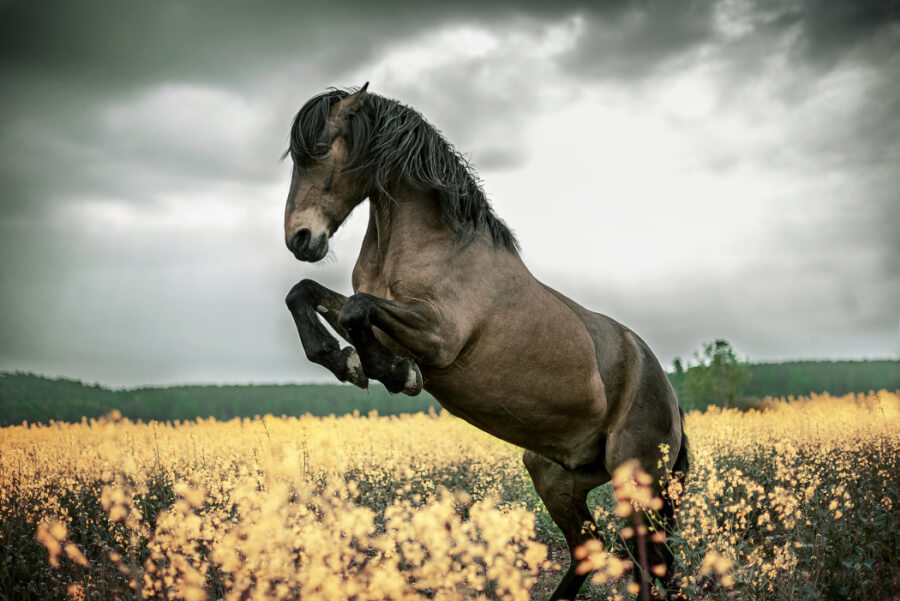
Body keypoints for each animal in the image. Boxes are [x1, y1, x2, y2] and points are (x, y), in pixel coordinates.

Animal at [282, 84, 688, 600]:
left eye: (320, 148)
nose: (300, 238)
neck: (430, 247)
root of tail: (670, 398)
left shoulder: (438, 337)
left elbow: (356, 309)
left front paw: (394, 373)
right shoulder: (384, 318)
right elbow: (306, 295)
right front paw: (347, 361)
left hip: (636, 481)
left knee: (648, 564)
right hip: (555, 475)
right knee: (592, 549)